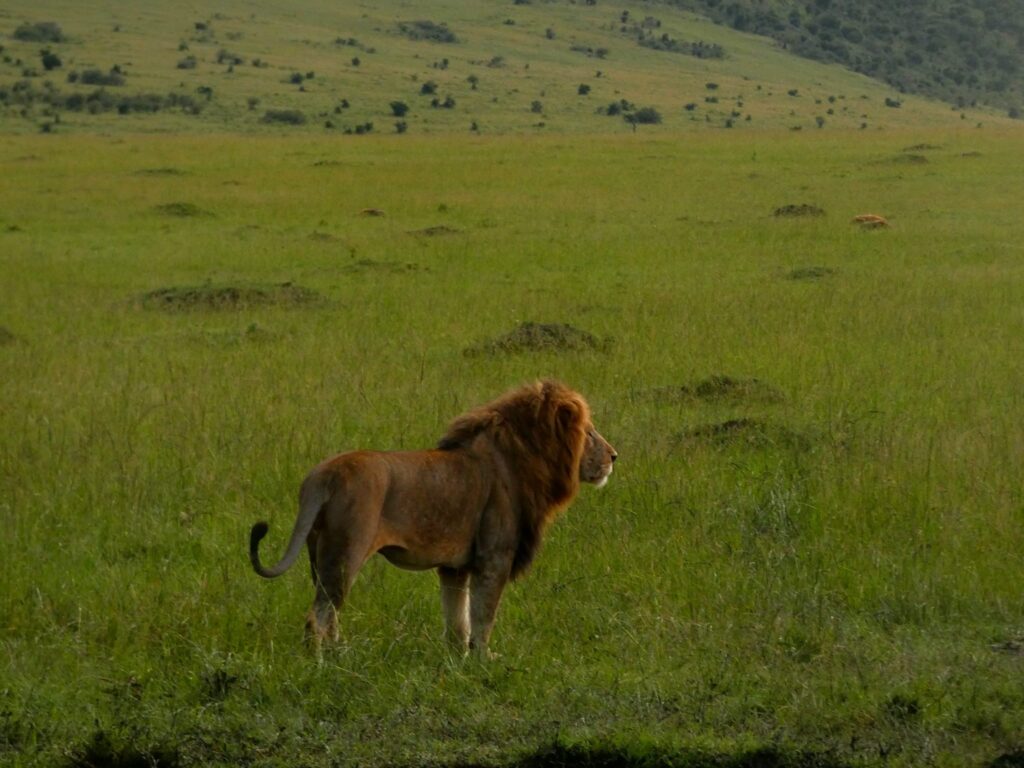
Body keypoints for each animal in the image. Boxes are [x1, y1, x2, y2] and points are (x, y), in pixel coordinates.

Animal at [247, 382, 614, 659]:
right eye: (589, 433)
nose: (614, 456)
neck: (523, 459)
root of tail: (321, 476)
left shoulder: (455, 568)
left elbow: (457, 620)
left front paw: (457, 660)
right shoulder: (493, 559)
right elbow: (483, 616)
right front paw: (484, 661)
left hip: (320, 557)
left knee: (330, 613)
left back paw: (341, 655)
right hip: (346, 554)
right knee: (317, 618)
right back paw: (321, 664)